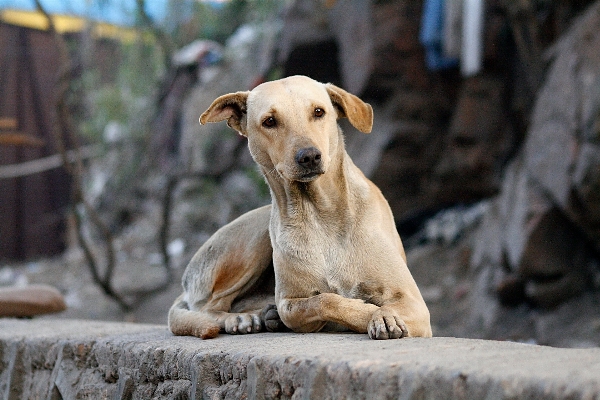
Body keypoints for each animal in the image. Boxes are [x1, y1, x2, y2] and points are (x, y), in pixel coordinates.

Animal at [169, 74, 432, 338]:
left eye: (318, 112)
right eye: (270, 121)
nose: (309, 156)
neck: (319, 214)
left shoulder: (414, 303)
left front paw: (382, 316)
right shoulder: (290, 303)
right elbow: (323, 300)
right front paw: (369, 312)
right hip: (252, 241)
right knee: (209, 306)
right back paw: (243, 318)